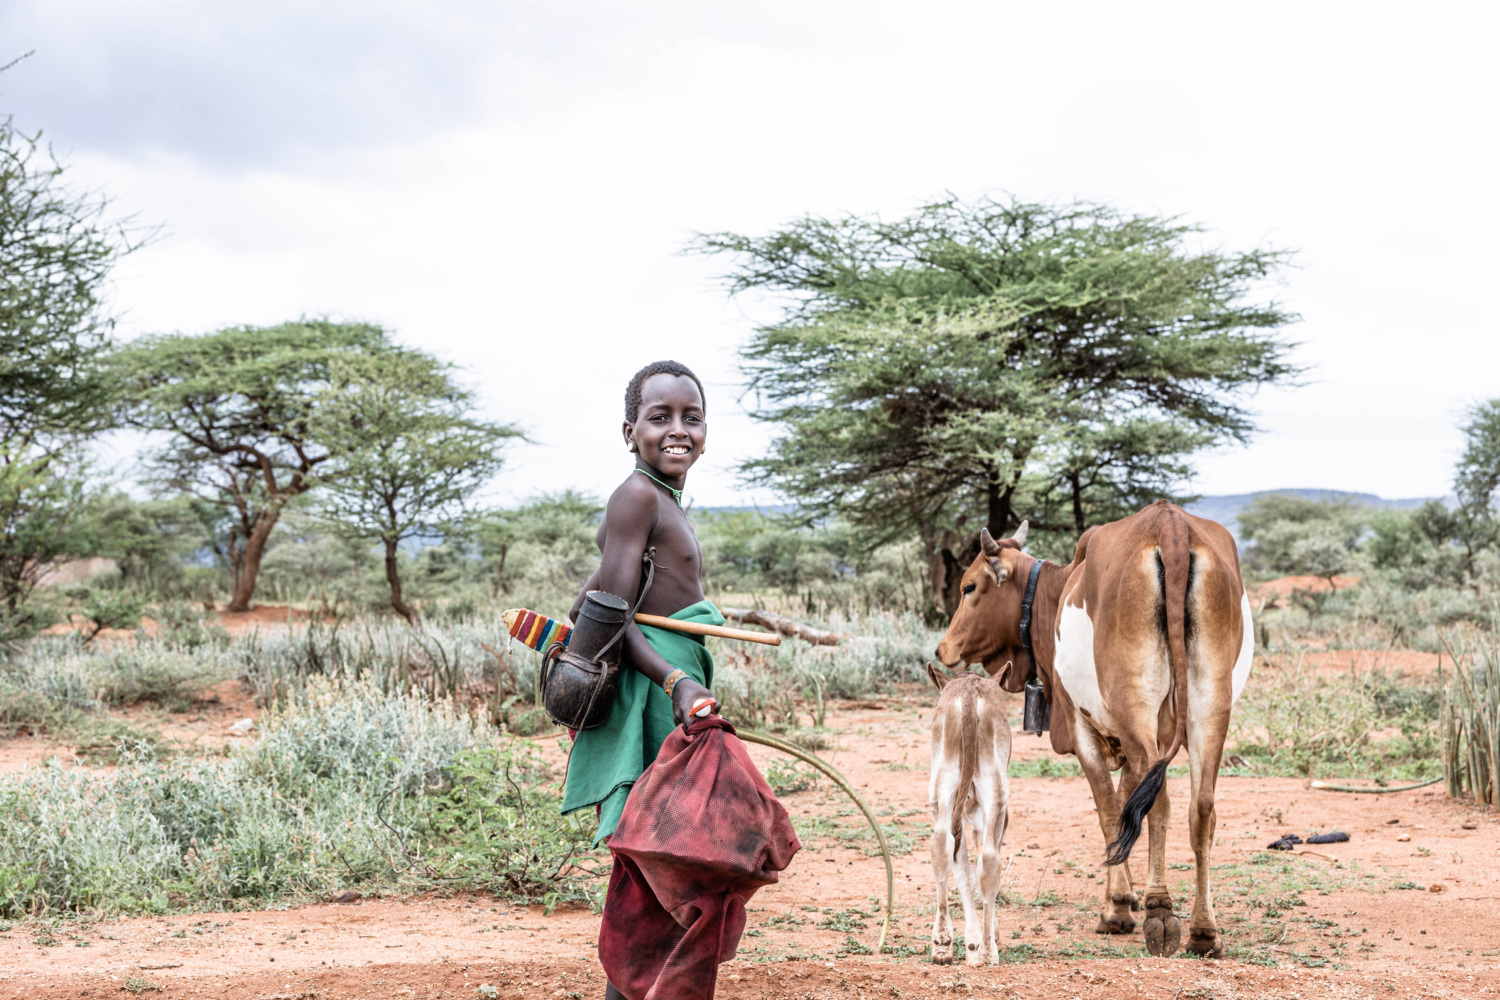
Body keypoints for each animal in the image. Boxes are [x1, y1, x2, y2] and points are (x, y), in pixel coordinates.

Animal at [918, 668, 1014, 965]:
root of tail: (970, 691)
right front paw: (983, 937)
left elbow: (963, 870)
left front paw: (972, 939)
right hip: (994, 792)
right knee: (989, 860)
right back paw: (988, 951)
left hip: (943, 785)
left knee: (942, 845)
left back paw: (942, 943)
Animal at [930, 503, 1248, 959]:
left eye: (968, 587)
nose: (944, 648)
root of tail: (1170, 525)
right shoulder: (1135, 740)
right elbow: (1126, 807)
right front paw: (1126, 893)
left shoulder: (1084, 729)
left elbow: (1110, 810)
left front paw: (1118, 906)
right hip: (1209, 710)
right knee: (1200, 808)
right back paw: (1204, 930)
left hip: (1139, 710)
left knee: (1159, 803)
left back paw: (1159, 910)